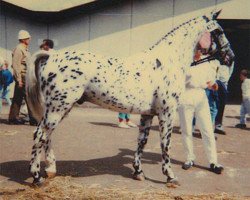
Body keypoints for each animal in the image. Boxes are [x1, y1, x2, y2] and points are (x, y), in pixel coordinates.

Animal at [26, 10, 234, 186]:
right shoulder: (166, 113)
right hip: (57, 107)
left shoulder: (148, 114)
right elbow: (165, 144)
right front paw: (170, 177)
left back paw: (50, 170)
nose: (230, 57)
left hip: (60, 108)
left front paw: (138, 172)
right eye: (219, 31)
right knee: (39, 134)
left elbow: (141, 141)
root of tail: (51, 57)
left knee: (47, 136)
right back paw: (36, 177)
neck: (167, 61)